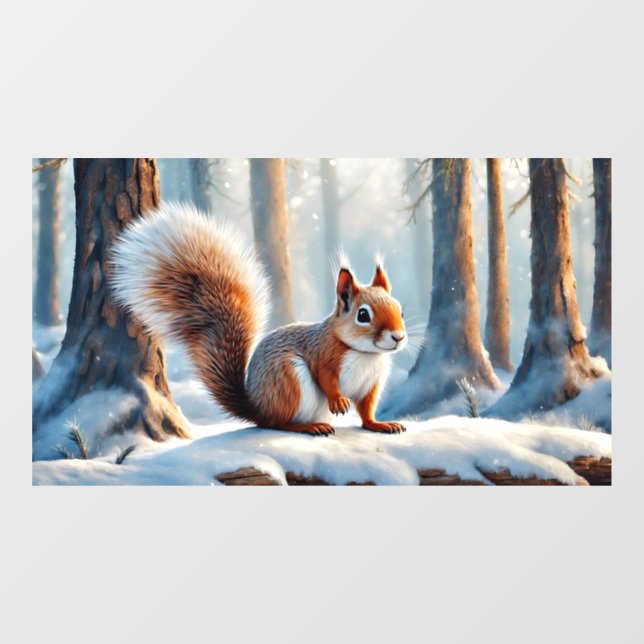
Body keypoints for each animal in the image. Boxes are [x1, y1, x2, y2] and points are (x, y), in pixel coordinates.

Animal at [110, 202, 407, 436]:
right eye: (363, 315)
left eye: (401, 310)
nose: (398, 337)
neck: (365, 354)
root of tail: (258, 408)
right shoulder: (323, 354)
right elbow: (326, 378)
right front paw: (338, 401)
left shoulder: (372, 384)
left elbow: (367, 410)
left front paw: (380, 424)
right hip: (288, 379)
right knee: (278, 423)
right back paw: (308, 426)